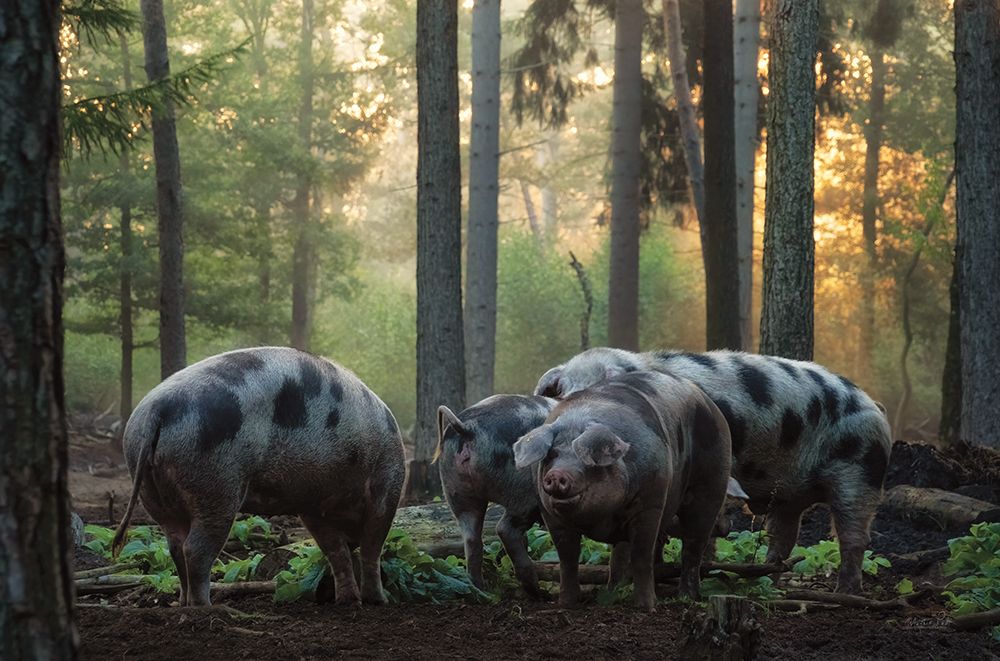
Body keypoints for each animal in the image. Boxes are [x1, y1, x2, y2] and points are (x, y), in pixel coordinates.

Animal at [112, 347, 405, 607]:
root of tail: (157, 410)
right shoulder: (387, 485)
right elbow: (372, 547)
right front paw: (379, 601)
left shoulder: (312, 506)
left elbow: (337, 553)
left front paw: (348, 602)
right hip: (215, 485)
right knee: (195, 550)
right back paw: (205, 607)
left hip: (152, 489)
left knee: (174, 544)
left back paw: (181, 604)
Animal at [434, 395, 556, 597]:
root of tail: (468, 429)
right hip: (524, 494)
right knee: (505, 529)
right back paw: (538, 592)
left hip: (456, 491)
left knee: (472, 540)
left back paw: (480, 590)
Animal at [514, 371, 733, 611]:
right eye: (552, 455)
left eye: (586, 459)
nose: (556, 475)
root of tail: (708, 401)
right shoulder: (550, 515)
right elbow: (568, 559)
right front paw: (566, 604)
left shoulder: (651, 503)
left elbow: (641, 556)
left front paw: (647, 607)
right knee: (619, 554)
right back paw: (612, 593)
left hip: (712, 482)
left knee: (693, 545)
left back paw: (687, 597)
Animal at [535, 347, 892, 594]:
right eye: (563, 389)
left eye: (608, 386)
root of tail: (874, 404)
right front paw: (619, 586)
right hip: (790, 495)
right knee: (783, 537)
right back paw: (765, 581)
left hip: (859, 472)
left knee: (854, 537)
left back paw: (845, 592)